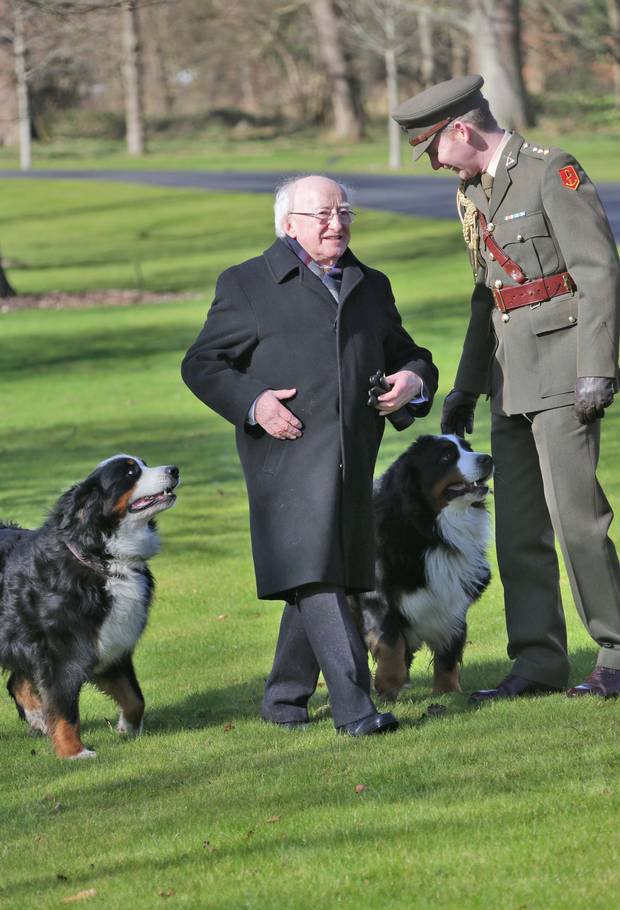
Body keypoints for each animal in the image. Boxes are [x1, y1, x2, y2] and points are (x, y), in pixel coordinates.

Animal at [0, 456, 179, 764]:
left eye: (143, 463)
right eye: (131, 472)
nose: (174, 470)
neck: (103, 559)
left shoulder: (110, 644)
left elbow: (135, 699)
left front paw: (126, 728)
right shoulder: (61, 654)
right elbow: (64, 709)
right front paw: (74, 752)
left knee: (16, 682)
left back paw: (37, 718)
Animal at [354, 434, 494, 700]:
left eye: (468, 447)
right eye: (446, 456)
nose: (487, 458)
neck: (431, 530)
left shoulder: (453, 596)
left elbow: (449, 649)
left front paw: (448, 691)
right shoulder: (378, 596)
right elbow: (390, 643)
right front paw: (388, 684)